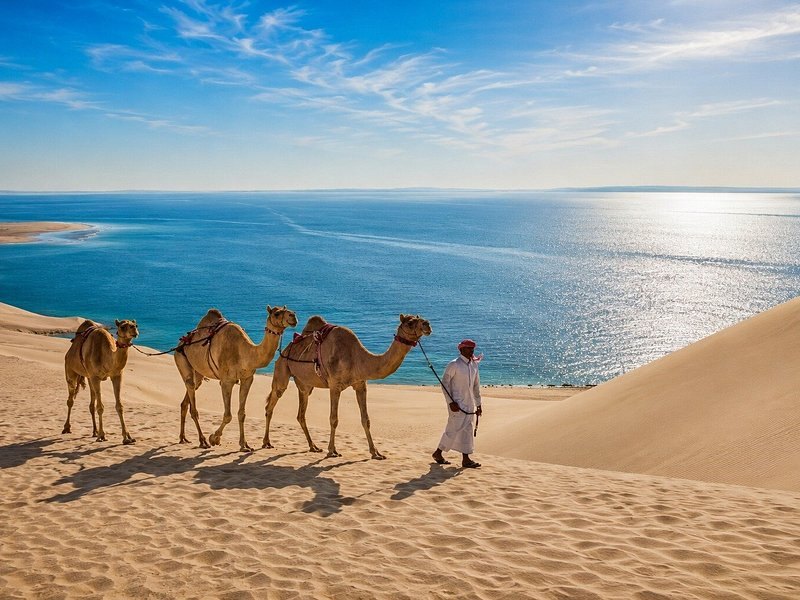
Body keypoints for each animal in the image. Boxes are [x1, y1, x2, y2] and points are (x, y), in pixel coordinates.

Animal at [176, 305, 297, 452]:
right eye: (277, 313)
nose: (293, 316)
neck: (245, 353)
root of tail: (182, 341)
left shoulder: (247, 379)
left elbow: (242, 414)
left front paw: (244, 444)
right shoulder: (226, 381)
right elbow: (228, 415)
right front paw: (214, 438)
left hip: (198, 372)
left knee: (188, 395)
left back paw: (183, 438)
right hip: (181, 358)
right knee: (191, 393)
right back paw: (203, 440)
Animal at [262, 313, 432, 459]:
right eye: (410, 322)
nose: (427, 324)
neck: (357, 358)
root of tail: (285, 349)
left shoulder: (361, 384)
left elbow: (366, 419)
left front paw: (375, 452)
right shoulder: (334, 385)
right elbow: (334, 419)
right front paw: (332, 451)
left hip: (305, 384)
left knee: (301, 414)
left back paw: (313, 446)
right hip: (282, 370)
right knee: (271, 404)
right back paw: (266, 442)